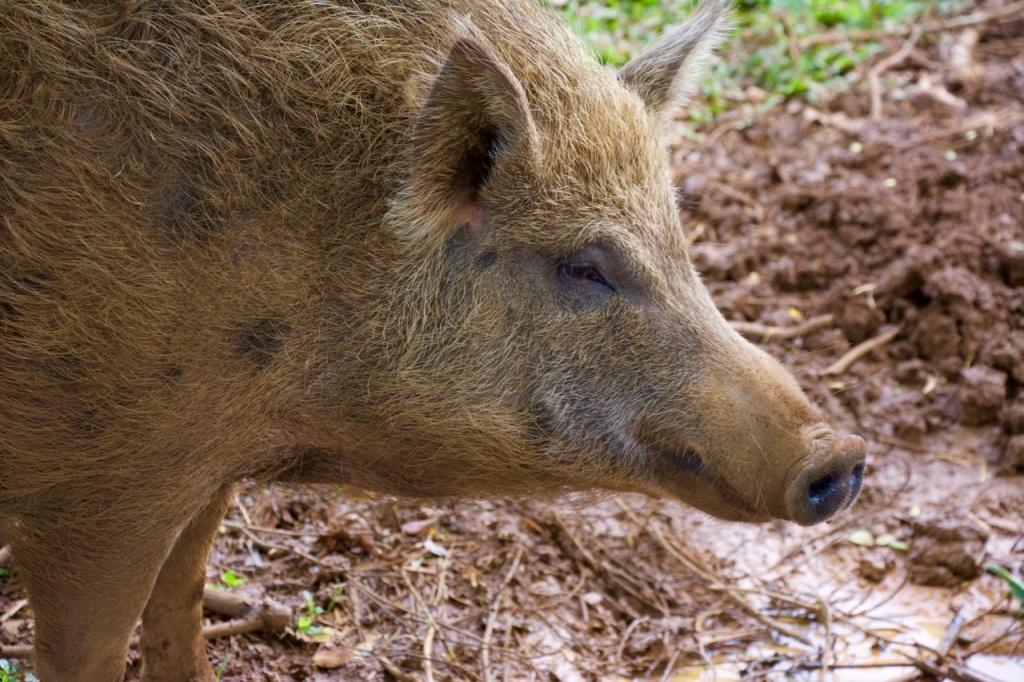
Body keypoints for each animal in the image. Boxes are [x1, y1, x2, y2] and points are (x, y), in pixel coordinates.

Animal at [0, 1, 864, 679]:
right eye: (584, 267)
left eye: (680, 242)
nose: (842, 453)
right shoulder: (104, 476)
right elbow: (89, 648)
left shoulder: (207, 461)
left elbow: (178, 599)